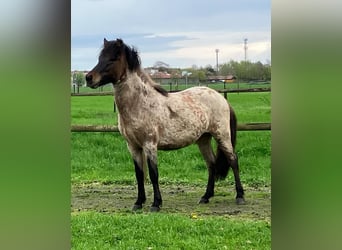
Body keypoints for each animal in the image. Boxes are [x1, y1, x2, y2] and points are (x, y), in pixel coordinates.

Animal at [86, 38, 246, 212]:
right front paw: (138, 203)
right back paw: (205, 197)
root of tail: (221, 98)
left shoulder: (150, 144)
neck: (139, 103)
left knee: (233, 160)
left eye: (113, 58)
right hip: (203, 139)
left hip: (222, 135)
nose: (89, 78)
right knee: (211, 164)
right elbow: (139, 174)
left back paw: (240, 196)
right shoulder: (133, 146)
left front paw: (156, 204)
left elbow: (153, 174)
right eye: (100, 57)